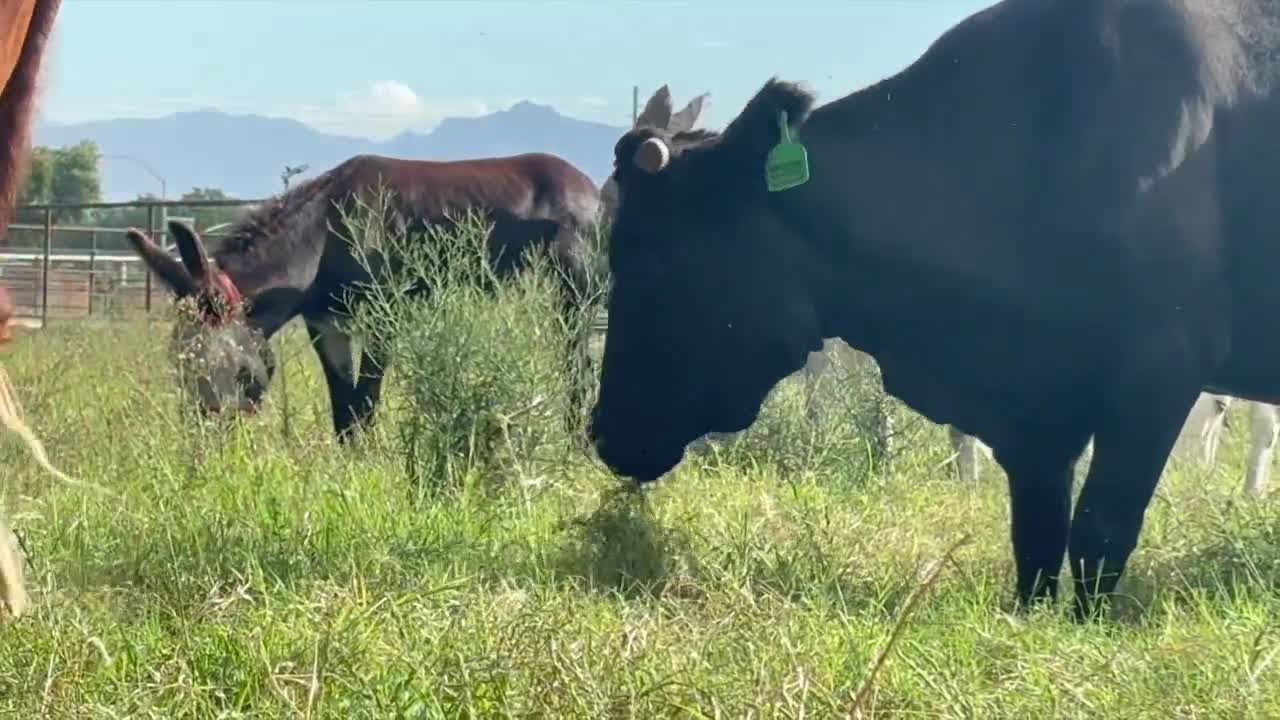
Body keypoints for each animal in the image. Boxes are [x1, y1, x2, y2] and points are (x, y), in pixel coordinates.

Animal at [588, 0, 1280, 620]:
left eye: (646, 253)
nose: (601, 430)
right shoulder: (1034, 410)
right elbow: (1036, 538)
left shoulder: (1162, 368)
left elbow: (1100, 528)